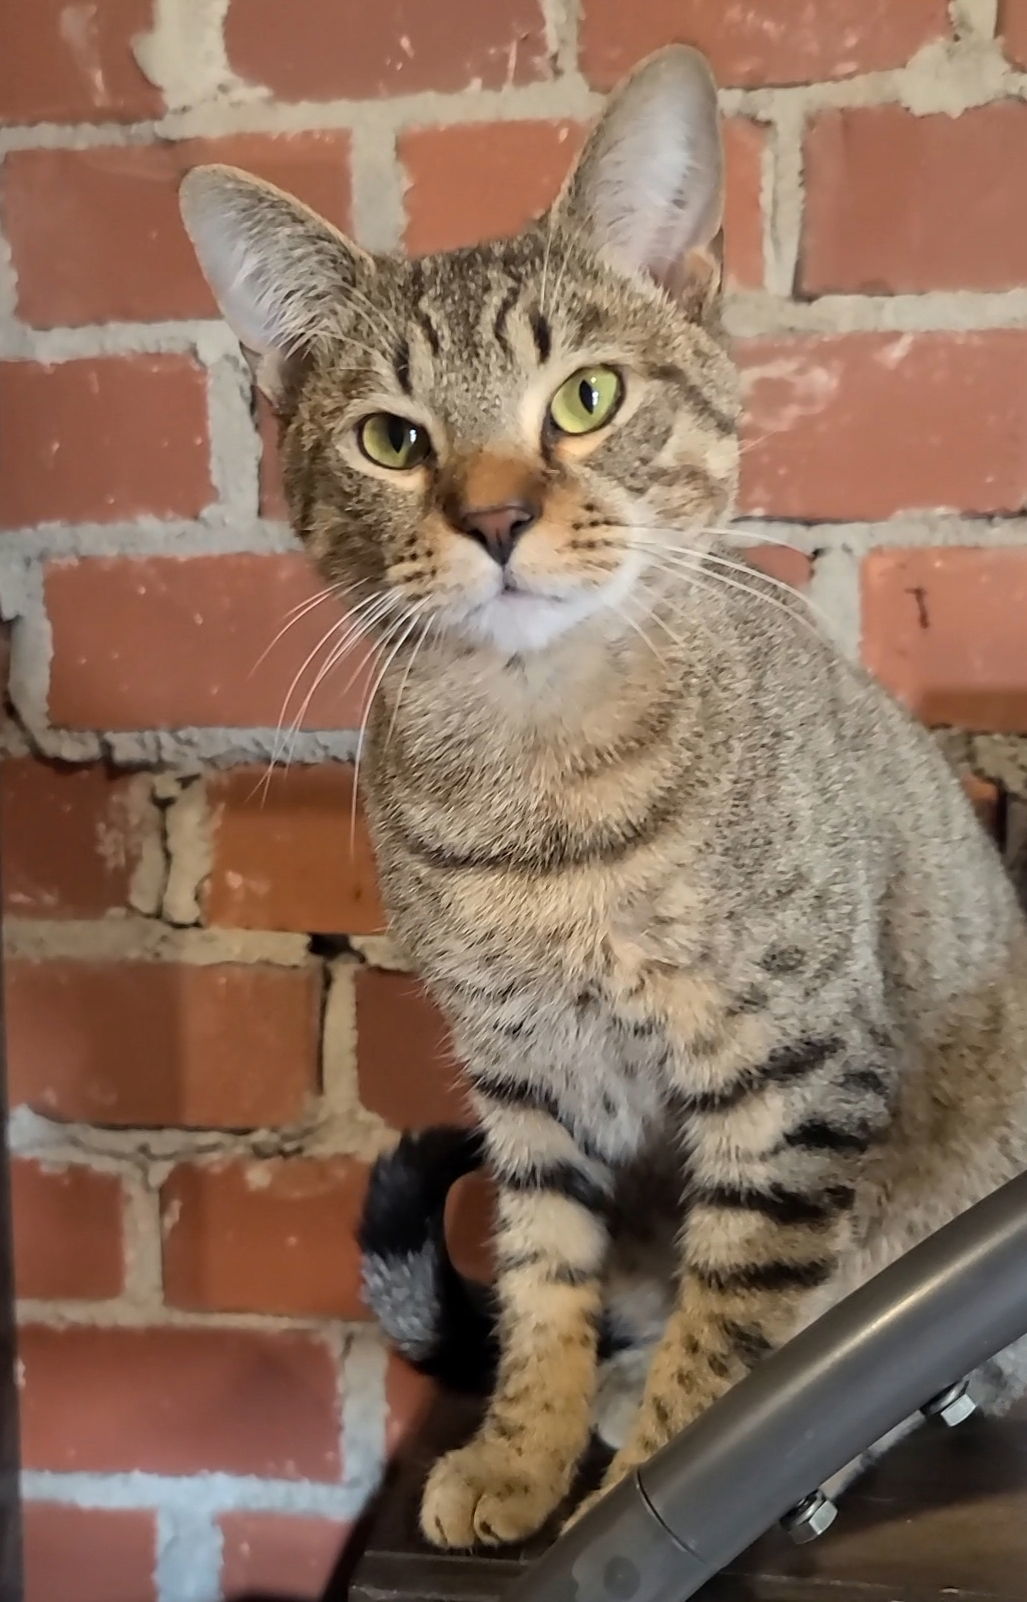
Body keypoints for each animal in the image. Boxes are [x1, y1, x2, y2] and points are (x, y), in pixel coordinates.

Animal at [180, 46, 1025, 1550]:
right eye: (389, 438)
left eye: (584, 399)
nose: (495, 516)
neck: (546, 786)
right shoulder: (526, 1081)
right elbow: (541, 1277)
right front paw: (522, 1450)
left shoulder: (791, 1072)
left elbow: (739, 1325)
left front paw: (655, 1489)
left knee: (926, 1363)